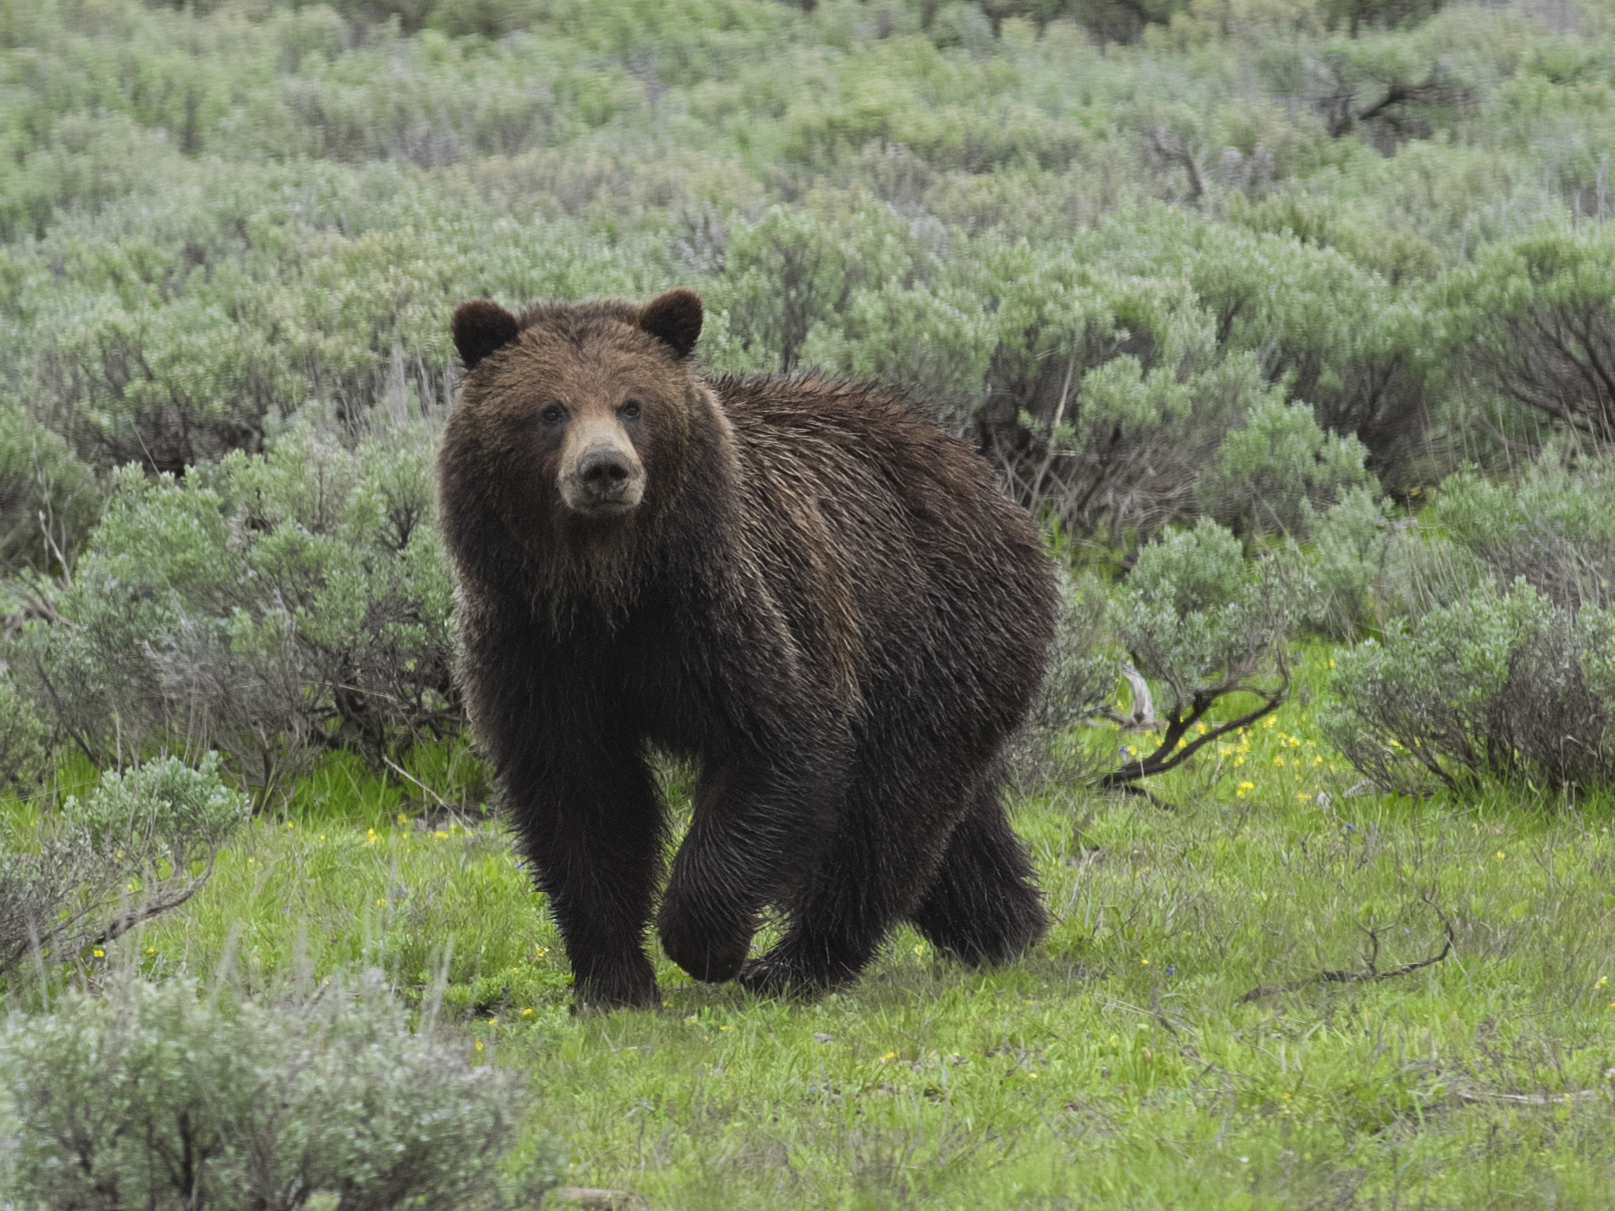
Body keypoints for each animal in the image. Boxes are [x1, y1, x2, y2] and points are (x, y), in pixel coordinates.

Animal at [437, 288, 1057, 1011]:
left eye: (632, 404)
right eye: (550, 409)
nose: (605, 469)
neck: (610, 587)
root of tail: (989, 481)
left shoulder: (729, 614)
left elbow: (779, 745)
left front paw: (708, 942)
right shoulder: (537, 644)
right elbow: (579, 794)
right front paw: (613, 978)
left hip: (931, 629)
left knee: (887, 809)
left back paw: (798, 962)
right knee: (954, 822)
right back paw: (1005, 927)